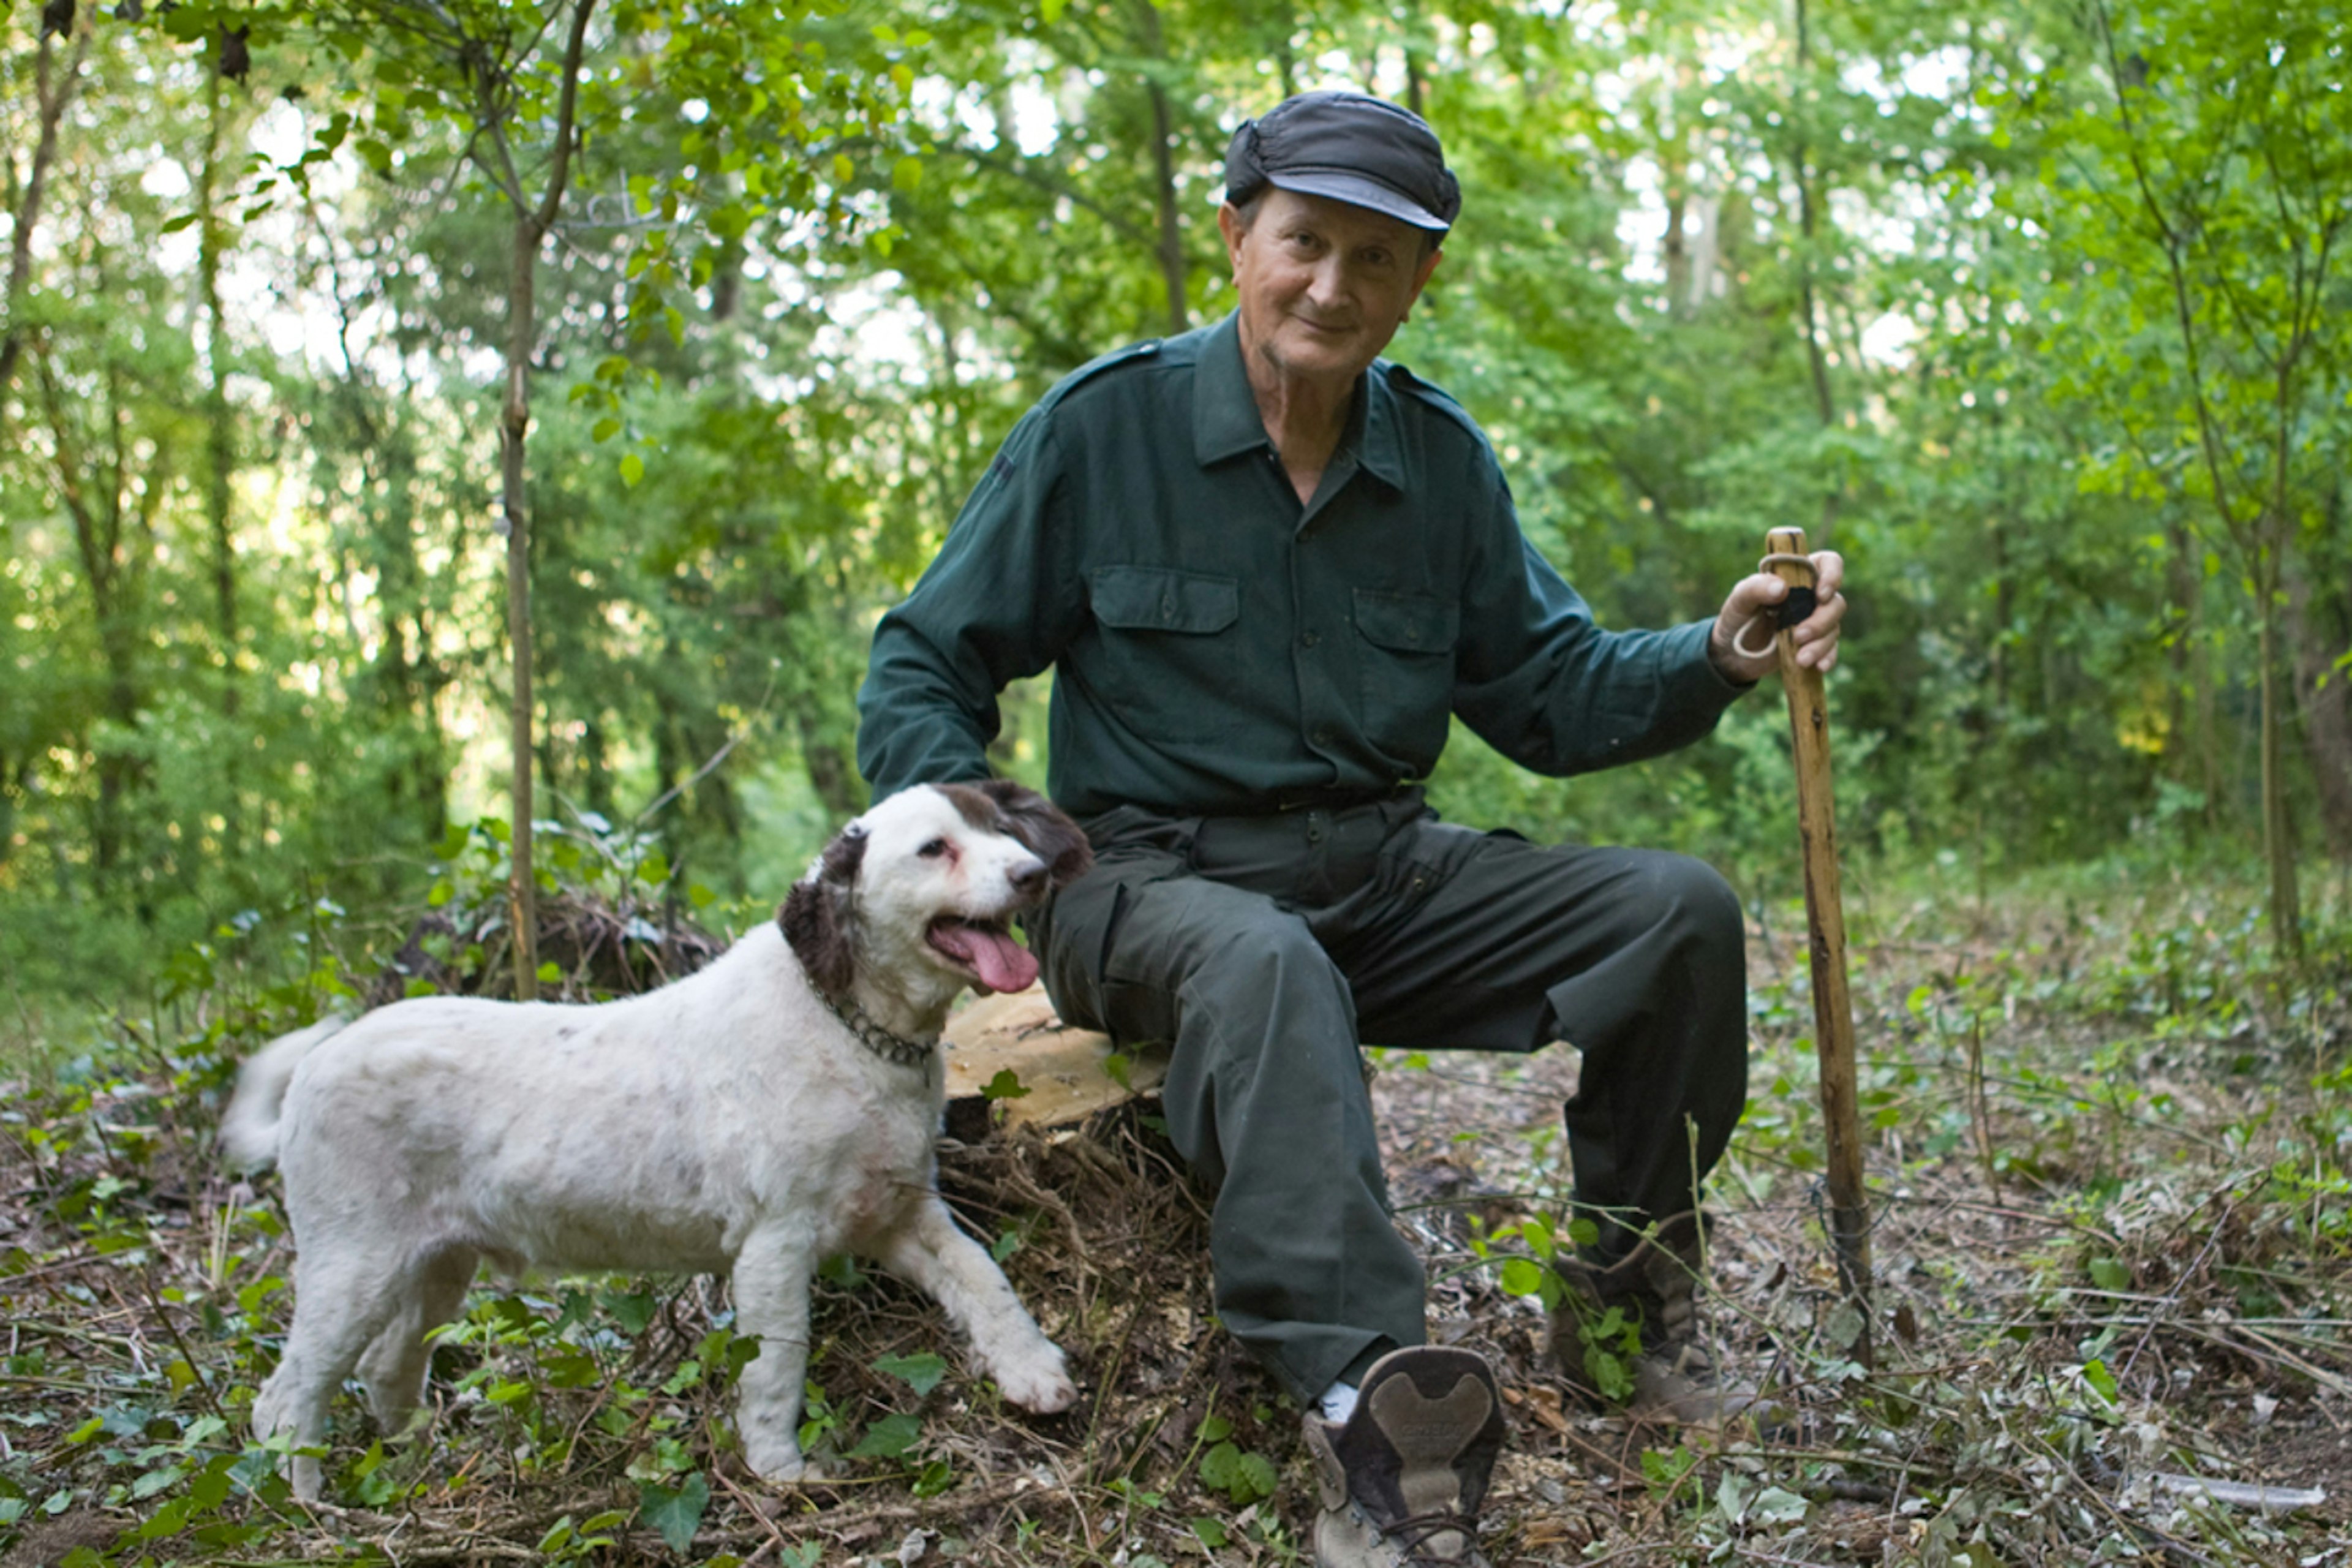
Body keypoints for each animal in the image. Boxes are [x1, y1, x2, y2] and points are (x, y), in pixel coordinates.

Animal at [221, 780, 1091, 1495]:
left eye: (998, 827)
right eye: (934, 848)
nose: (1030, 873)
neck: (847, 1025)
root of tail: (316, 1063)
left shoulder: (901, 1212)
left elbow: (983, 1279)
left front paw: (1032, 1369)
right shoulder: (774, 1245)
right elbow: (777, 1363)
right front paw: (780, 1469)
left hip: (436, 1263)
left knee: (386, 1367)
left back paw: (413, 1463)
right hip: (352, 1263)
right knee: (285, 1400)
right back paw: (310, 1505)